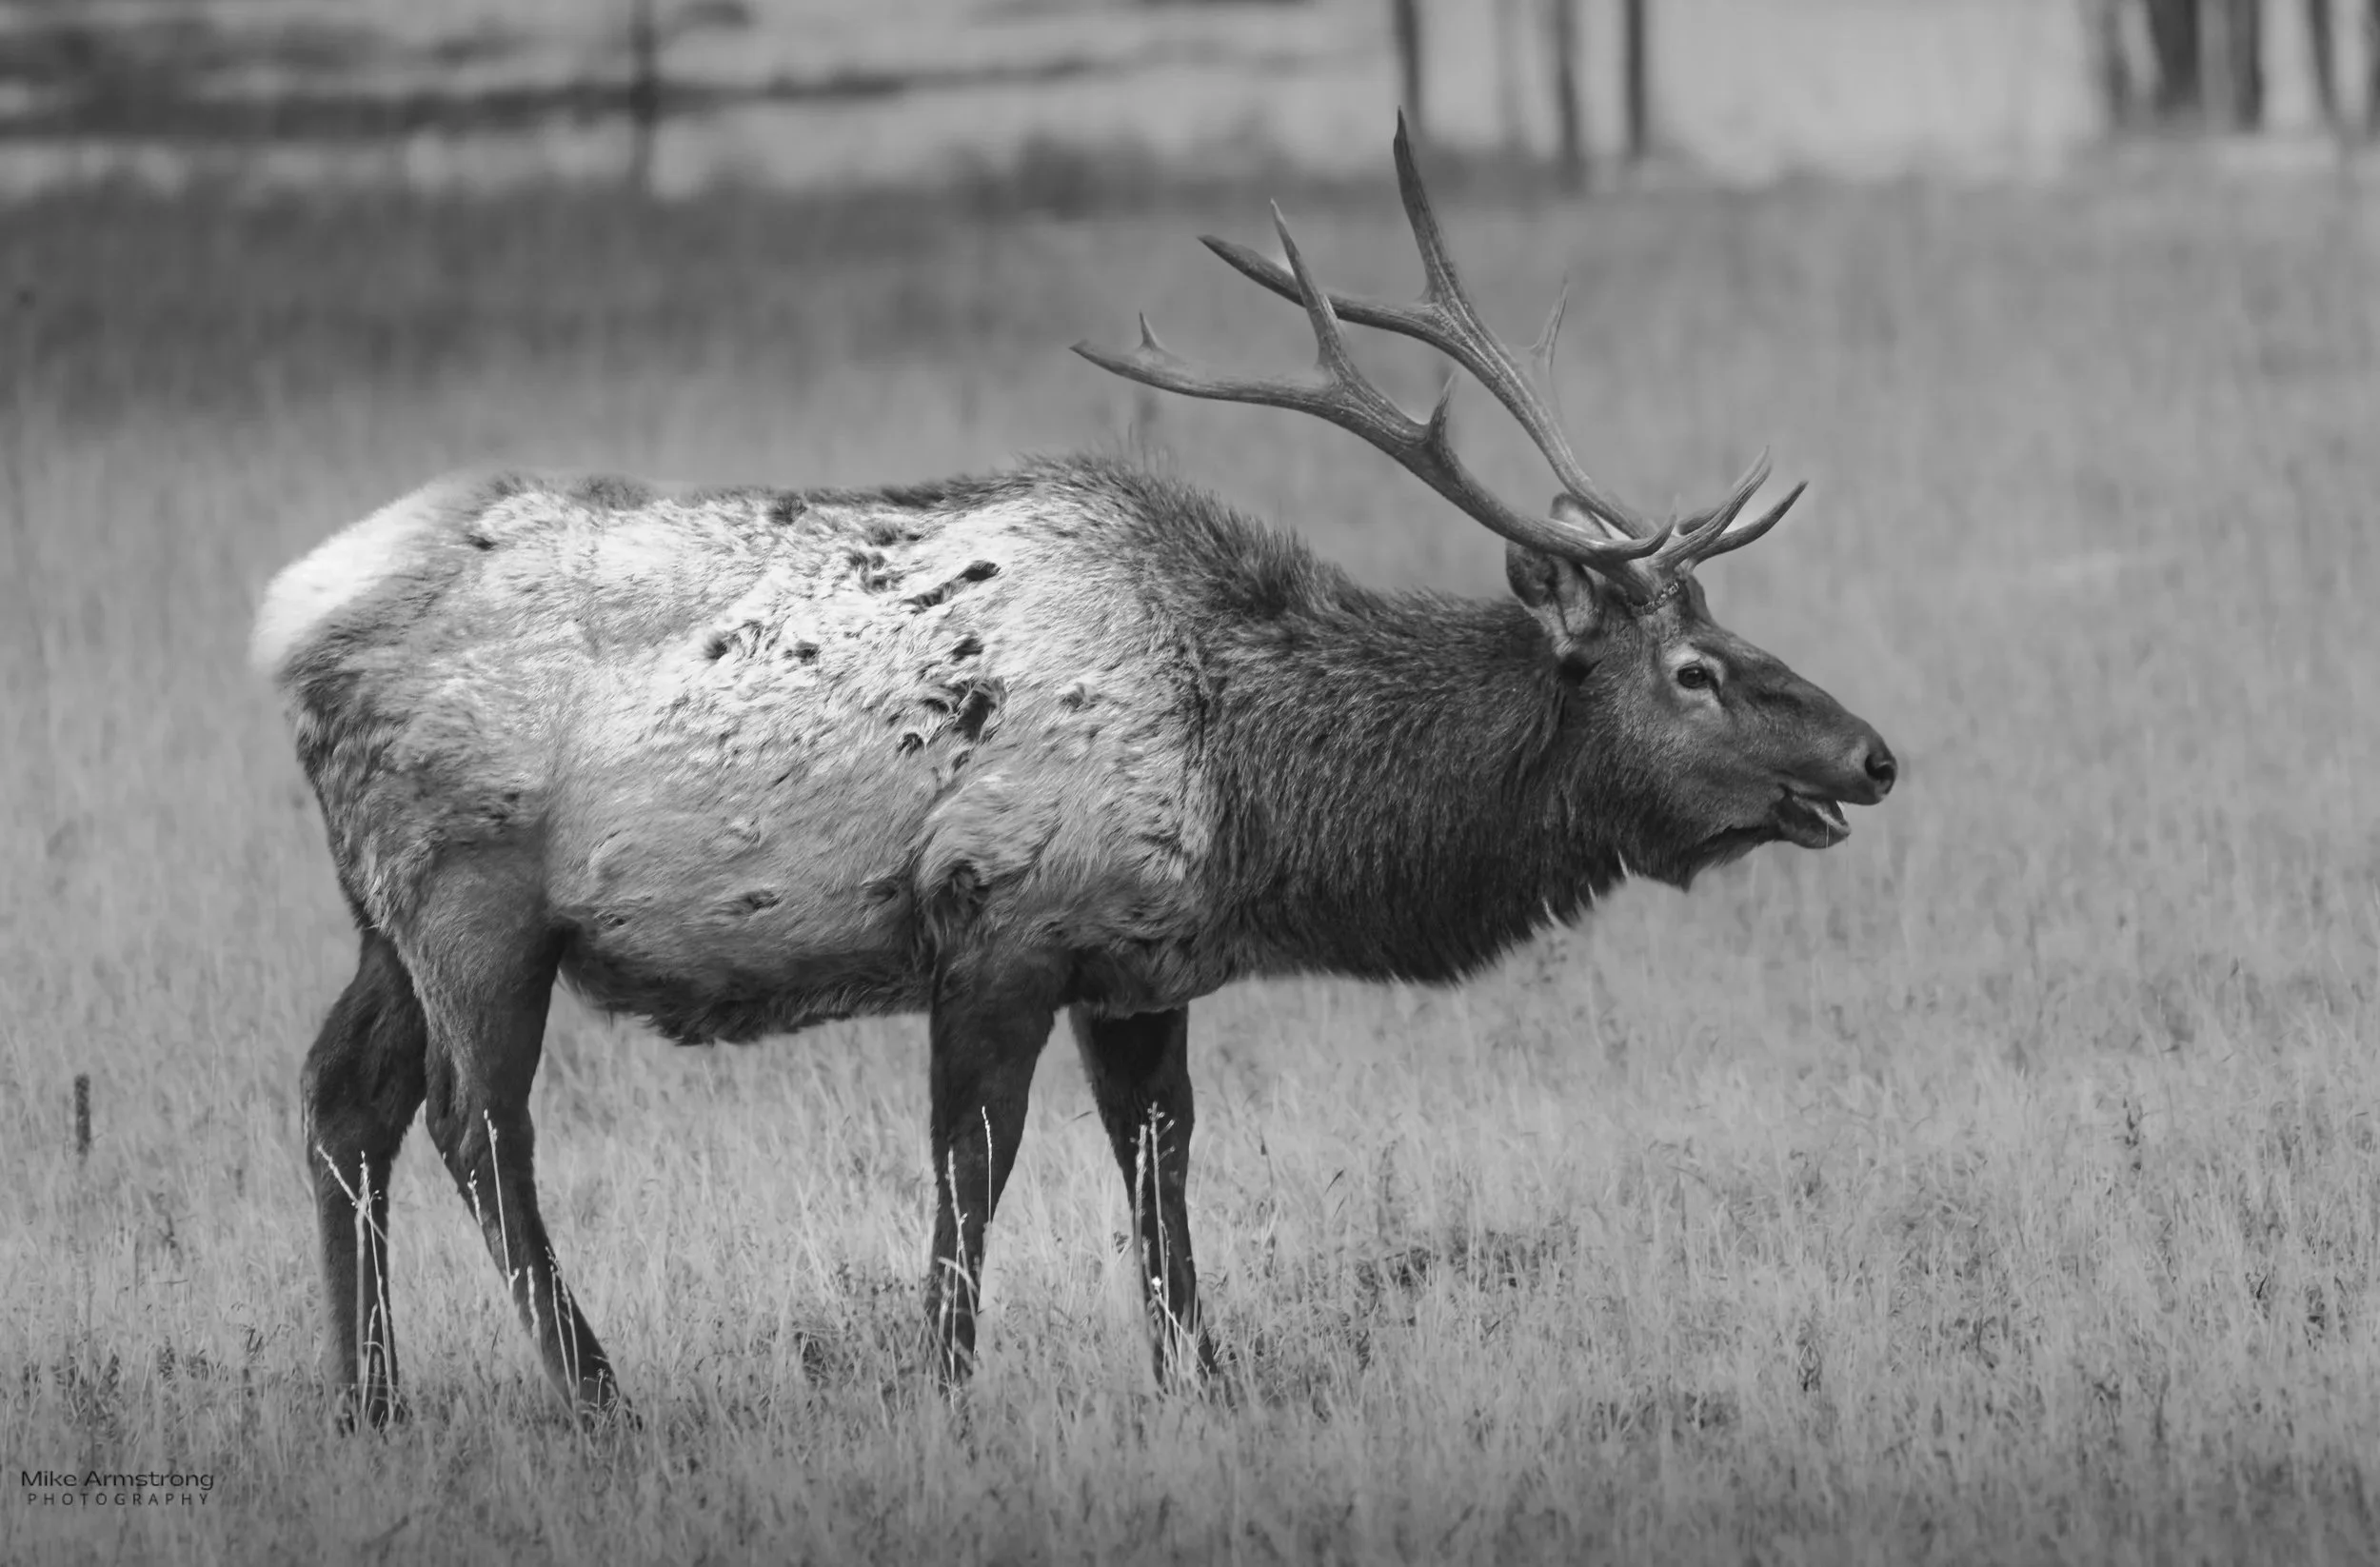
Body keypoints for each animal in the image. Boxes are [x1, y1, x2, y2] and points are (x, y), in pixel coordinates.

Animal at [253, 119, 1894, 1429]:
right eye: (1693, 671)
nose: (1874, 753)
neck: (1251, 780)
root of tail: (290, 620)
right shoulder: (1000, 924)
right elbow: (974, 1167)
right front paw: (943, 1381)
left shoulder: (1142, 961)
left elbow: (1160, 1165)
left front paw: (1200, 1377)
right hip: (473, 891)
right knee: (477, 1123)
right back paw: (597, 1395)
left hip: (378, 907)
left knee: (345, 1092)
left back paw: (369, 1399)